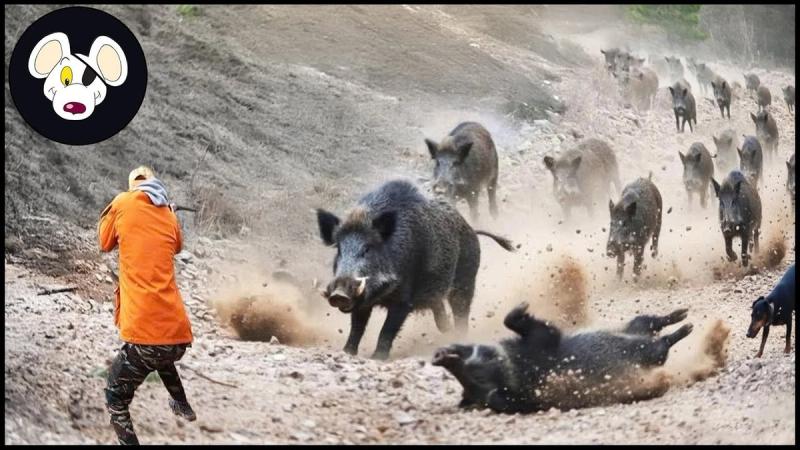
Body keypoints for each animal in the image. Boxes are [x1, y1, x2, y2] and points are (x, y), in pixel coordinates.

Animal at [316, 179, 515, 360]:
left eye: (367, 249)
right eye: (339, 249)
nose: (339, 294)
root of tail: (472, 230)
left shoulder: (404, 300)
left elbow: (387, 330)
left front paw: (377, 358)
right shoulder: (362, 301)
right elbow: (357, 327)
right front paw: (346, 352)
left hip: (466, 279)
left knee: (462, 311)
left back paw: (458, 339)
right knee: (440, 312)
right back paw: (447, 331)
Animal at [432, 303, 693, 413]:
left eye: (472, 352)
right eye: (473, 375)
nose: (438, 356)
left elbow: (515, 321)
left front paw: (522, 305)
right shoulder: (541, 342)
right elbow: (534, 326)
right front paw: (522, 306)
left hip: (636, 324)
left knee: (651, 320)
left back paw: (682, 314)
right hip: (649, 352)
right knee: (661, 344)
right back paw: (687, 327)